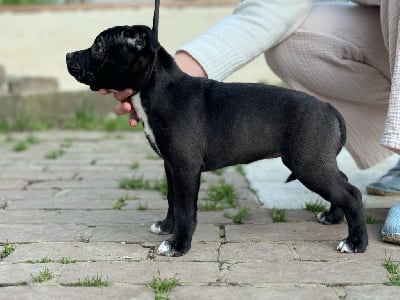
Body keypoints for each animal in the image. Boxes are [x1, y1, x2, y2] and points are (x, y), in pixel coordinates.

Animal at [66, 24, 368, 256]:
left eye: (98, 47)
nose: (68, 55)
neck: (155, 86)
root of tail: (328, 107)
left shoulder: (186, 168)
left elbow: (186, 209)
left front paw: (178, 245)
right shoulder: (171, 166)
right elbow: (172, 199)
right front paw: (167, 226)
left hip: (307, 163)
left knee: (352, 193)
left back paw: (356, 243)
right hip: (316, 161)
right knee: (341, 181)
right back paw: (332, 217)